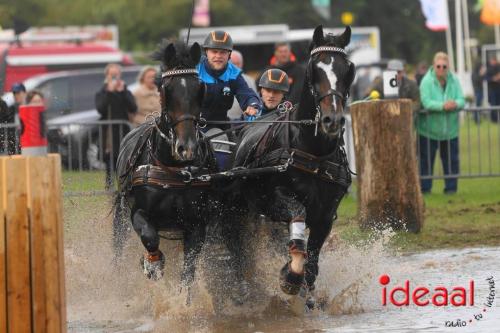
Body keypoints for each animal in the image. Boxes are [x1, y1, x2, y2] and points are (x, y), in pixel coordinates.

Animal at [114, 39, 218, 288]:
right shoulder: (138, 212)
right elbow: (150, 238)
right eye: (166, 89)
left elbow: (188, 271)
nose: (186, 147)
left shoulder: (197, 224)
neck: (174, 170)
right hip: (120, 214)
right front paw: (152, 265)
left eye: (200, 89)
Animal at [231, 26, 356, 300]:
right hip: (240, 210)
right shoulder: (276, 202)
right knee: (238, 246)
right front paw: (289, 275)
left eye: (348, 69)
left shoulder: (326, 216)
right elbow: (298, 230)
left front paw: (310, 298)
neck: (314, 153)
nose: (332, 120)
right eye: (314, 69)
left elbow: (312, 265)